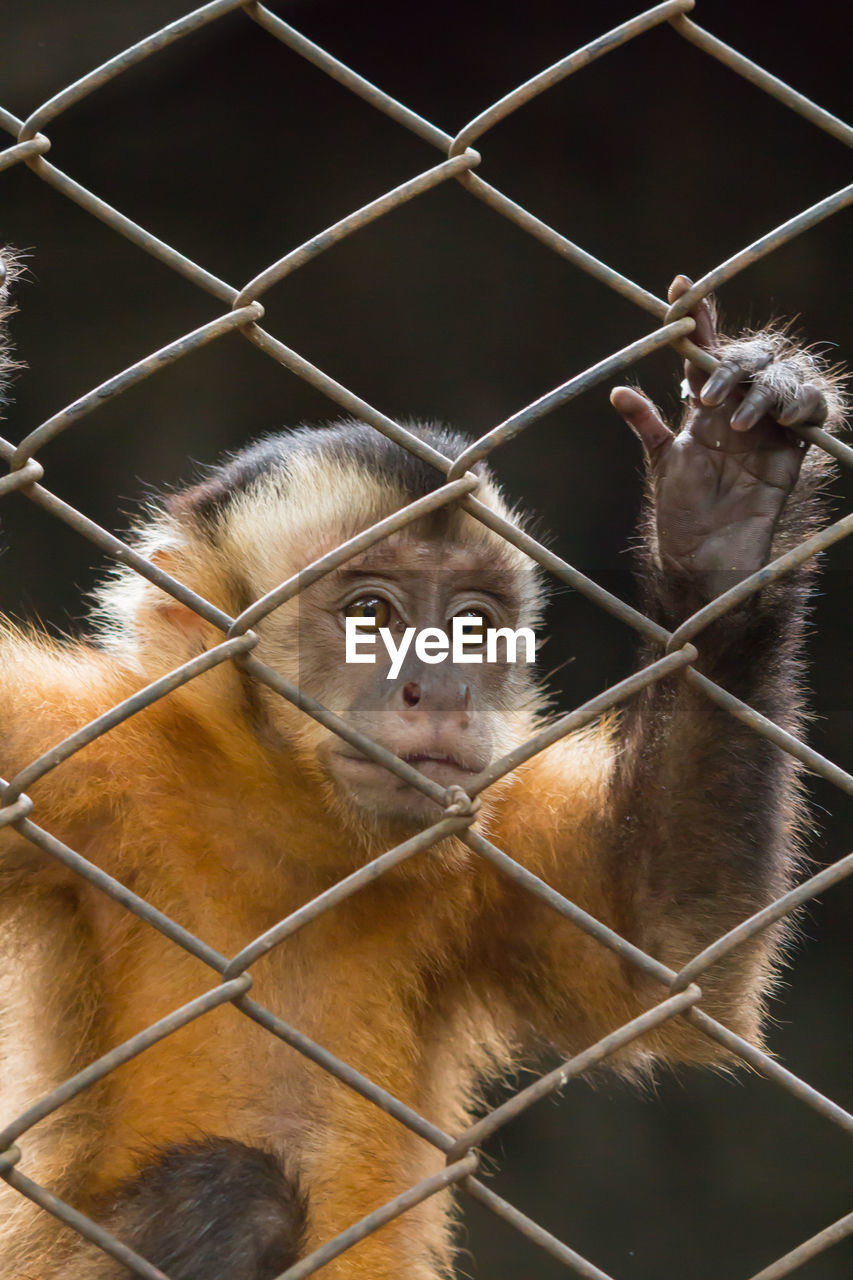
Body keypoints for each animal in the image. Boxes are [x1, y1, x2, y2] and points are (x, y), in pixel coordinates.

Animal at [0, 262, 840, 1280]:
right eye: (371, 613)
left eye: (471, 626)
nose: (439, 686)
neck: (289, 821)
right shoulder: (89, 759)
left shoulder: (482, 826)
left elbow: (668, 949)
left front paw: (730, 520)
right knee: (234, 1198)